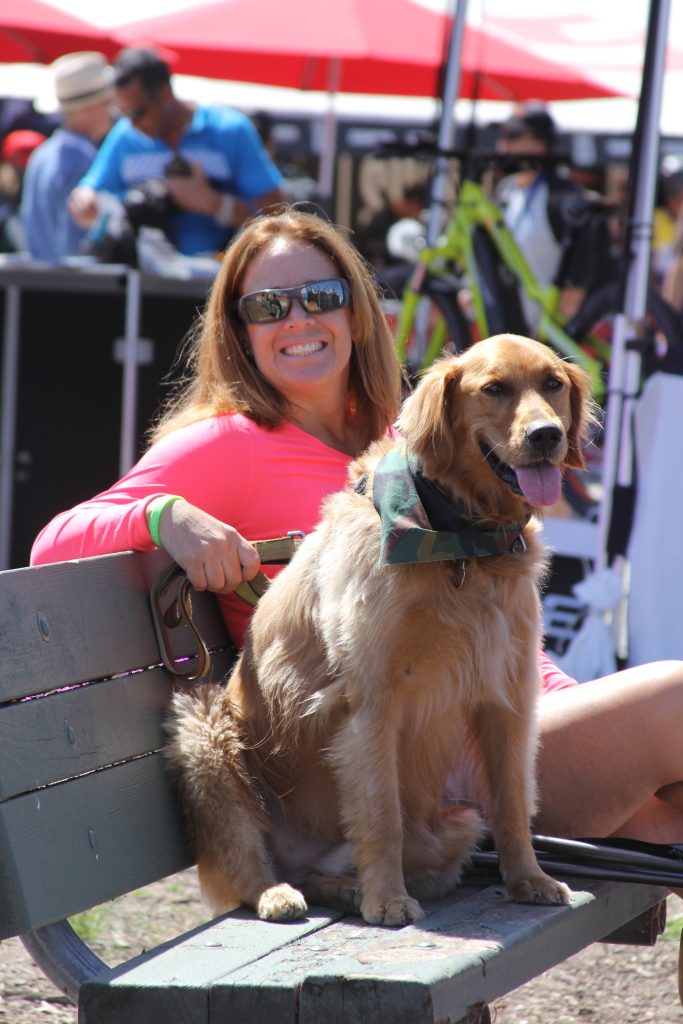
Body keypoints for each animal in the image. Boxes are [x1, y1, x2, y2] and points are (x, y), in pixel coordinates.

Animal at [165, 333, 593, 929]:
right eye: (494, 389)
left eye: (552, 383)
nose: (547, 435)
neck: (460, 541)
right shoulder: (371, 702)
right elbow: (380, 812)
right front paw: (387, 898)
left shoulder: (508, 695)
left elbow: (512, 800)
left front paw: (528, 878)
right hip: (205, 731)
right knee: (249, 860)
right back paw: (281, 892)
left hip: (458, 822)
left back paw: (345, 888)